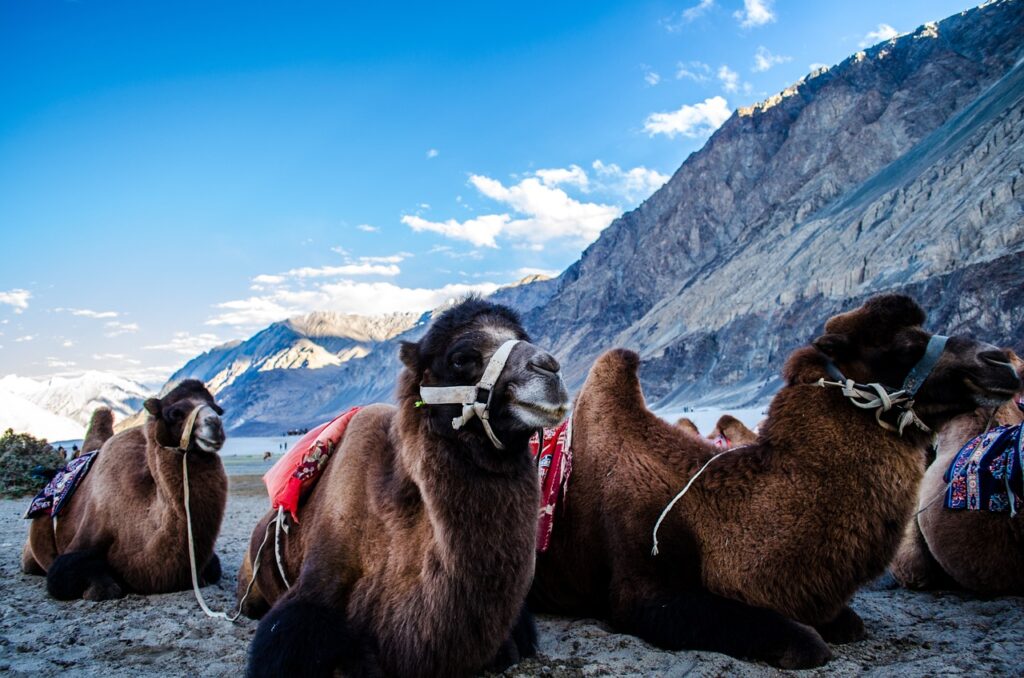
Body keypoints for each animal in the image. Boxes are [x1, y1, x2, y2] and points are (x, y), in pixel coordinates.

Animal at [19, 378, 229, 602]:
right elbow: (79, 580)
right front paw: (100, 587)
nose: (215, 424)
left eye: (218, 409)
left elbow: (213, 569)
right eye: (175, 412)